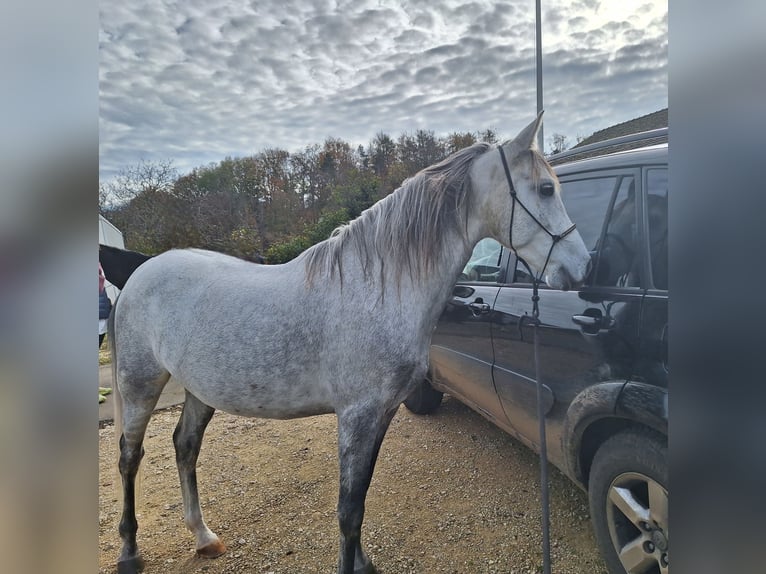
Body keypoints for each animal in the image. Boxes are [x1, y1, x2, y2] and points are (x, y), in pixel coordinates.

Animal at [109, 113, 588, 574]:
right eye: (546, 188)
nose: (581, 267)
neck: (377, 288)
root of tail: (140, 272)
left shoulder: (382, 413)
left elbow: (360, 499)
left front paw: (362, 563)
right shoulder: (357, 415)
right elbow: (347, 510)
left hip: (199, 389)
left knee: (185, 446)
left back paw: (204, 537)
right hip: (140, 384)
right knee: (130, 456)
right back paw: (129, 552)